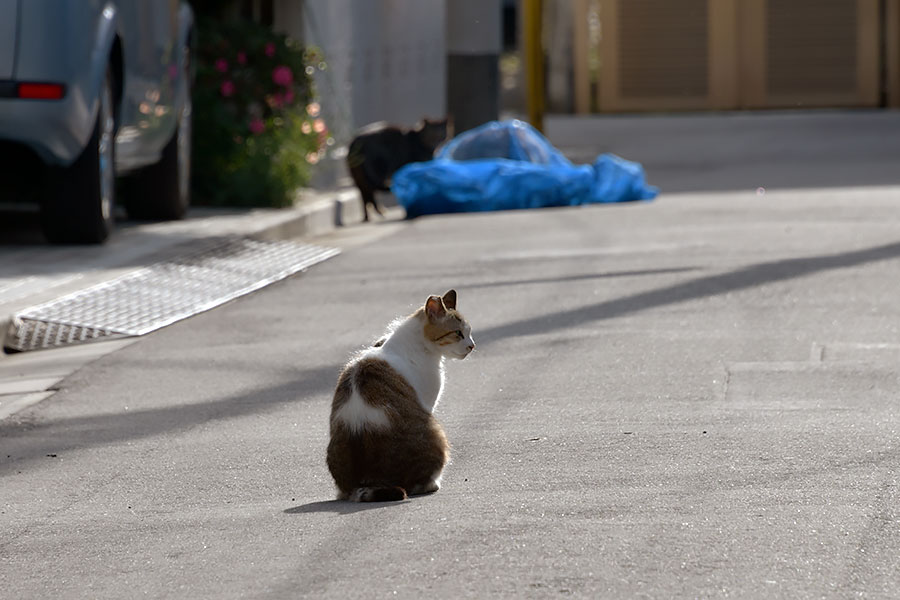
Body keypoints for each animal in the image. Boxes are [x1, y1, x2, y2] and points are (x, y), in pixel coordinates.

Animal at [326, 290, 474, 502]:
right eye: (458, 333)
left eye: (469, 332)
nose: (472, 345)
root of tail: (365, 482)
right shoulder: (428, 404)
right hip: (436, 432)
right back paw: (432, 484)